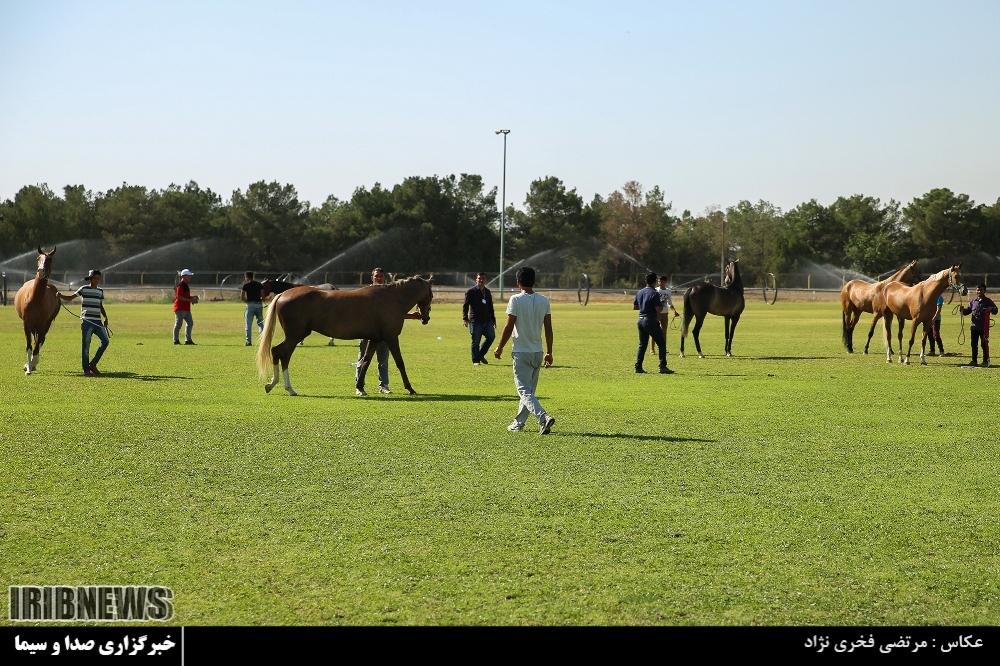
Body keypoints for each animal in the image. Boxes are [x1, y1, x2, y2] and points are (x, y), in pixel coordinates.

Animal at [13, 247, 60, 375]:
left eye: (50, 259)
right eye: (38, 258)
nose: (41, 271)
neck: (35, 299)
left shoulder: (41, 324)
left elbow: (36, 345)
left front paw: (31, 364)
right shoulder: (27, 323)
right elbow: (29, 346)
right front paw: (28, 368)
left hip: (46, 324)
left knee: (40, 341)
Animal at [256, 276, 432, 396]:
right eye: (431, 295)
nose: (425, 318)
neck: (392, 298)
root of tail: (283, 295)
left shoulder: (375, 339)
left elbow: (365, 362)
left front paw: (360, 387)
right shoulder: (391, 337)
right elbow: (400, 363)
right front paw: (410, 388)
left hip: (297, 335)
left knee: (275, 351)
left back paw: (272, 384)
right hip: (294, 336)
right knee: (284, 355)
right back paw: (289, 388)